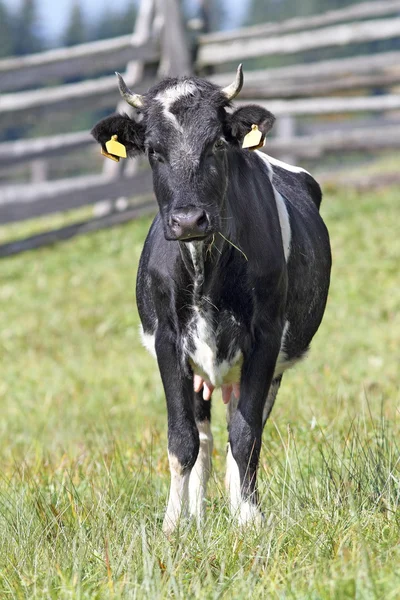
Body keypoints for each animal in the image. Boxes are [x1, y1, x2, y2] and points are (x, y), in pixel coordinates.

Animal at [90, 67, 332, 536]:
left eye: (218, 144)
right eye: (153, 151)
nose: (188, 220)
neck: (204, 269)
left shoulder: (265, 338)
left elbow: (246, 434)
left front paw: (249, 518)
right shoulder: (168, 341)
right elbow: (182, 439)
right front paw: (172, 526)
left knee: (243, 427)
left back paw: (237, 507)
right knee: (203, 437)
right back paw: (197, 515)